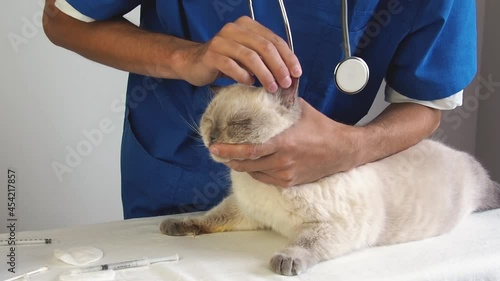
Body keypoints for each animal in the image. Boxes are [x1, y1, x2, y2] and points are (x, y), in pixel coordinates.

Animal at [159, 84, 500, 274]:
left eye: (240, 123)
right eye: (209, 120)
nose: (212, 138)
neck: (257, 182)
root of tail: (456, 151)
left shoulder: (332, 226)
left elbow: (304, 244)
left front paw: (285, 260)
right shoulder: (245, 211)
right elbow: (207, 218)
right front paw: (175, 226)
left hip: (476, 186)